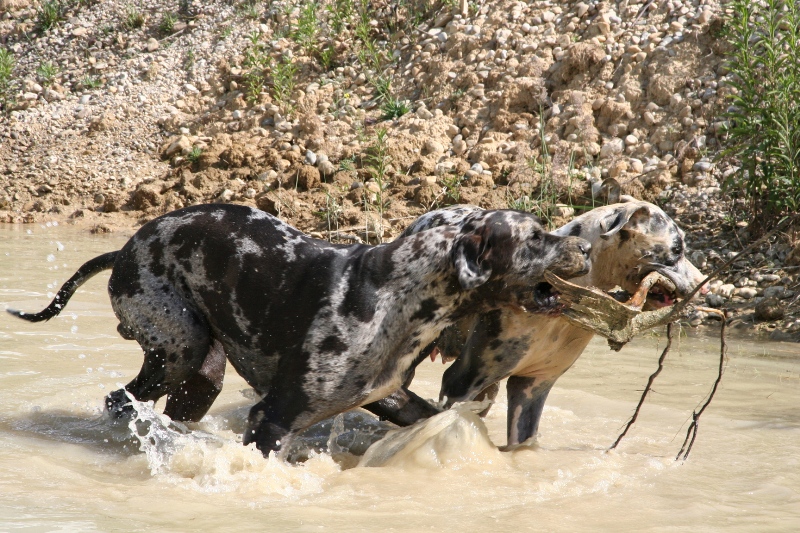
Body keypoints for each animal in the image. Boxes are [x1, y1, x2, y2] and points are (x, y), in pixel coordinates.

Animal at [7, 202, 592, 456]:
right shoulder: (273, 418)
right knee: (118, 400)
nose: (586, 246)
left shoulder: (392, 398)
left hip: (201, 377)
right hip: (177, 351)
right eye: (536, 236)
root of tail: (125, 248)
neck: (395, 295)